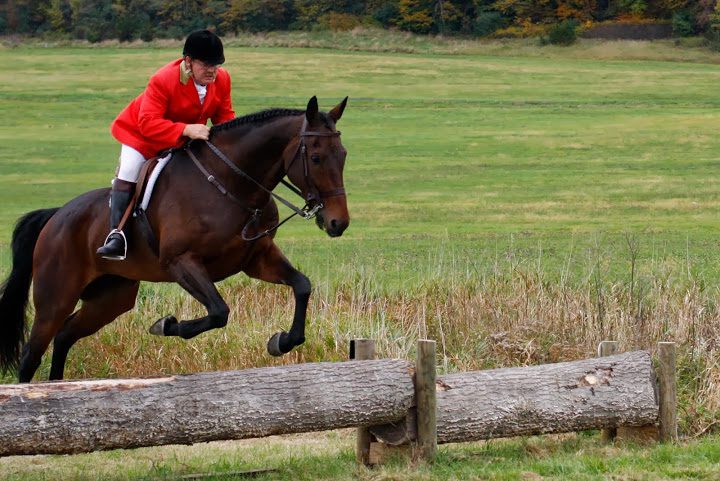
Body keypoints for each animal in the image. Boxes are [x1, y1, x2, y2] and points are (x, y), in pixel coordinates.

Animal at [0, 95, 348, 382]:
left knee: (65, 335)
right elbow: (219, 311)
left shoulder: (257, 257)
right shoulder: (181, 262)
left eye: (343, 154)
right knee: (32, 354)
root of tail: (56, 217)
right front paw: (166, 325)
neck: (231, 185)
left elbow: (302, 286)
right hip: (56, 296)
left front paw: (282, 341)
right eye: (316, 158)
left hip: (111, 298)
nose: (338, 223)